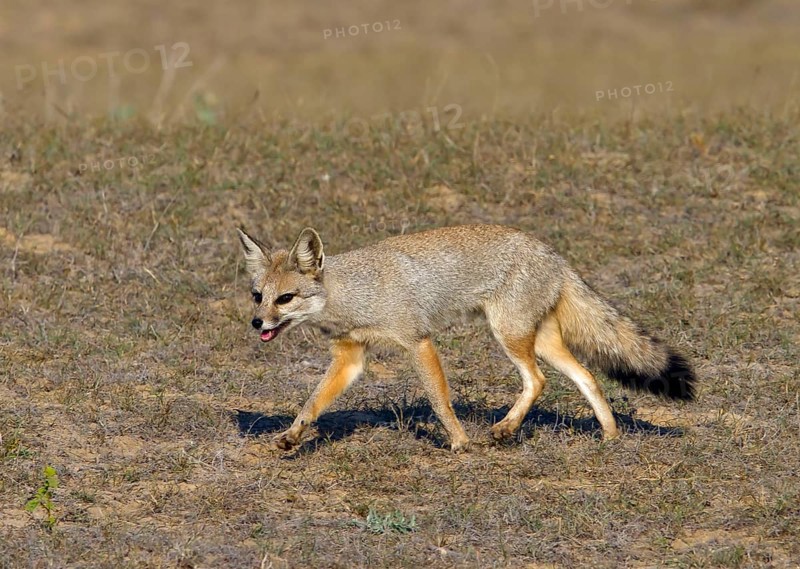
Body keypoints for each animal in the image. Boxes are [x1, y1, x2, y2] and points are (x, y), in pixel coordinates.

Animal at [236, 224, 695, 452]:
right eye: (258, 296)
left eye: (285, 298)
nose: (257, 323)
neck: (354, 293)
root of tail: (553, 253)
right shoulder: (350, 358)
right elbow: (312, 404)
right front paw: (293, 437)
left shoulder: (417, 341)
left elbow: (440, 400)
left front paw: (459, 443)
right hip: (539, 341)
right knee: (587, 377)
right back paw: (610, 435)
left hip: (508, 335)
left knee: (539, 380)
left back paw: (506, 429)